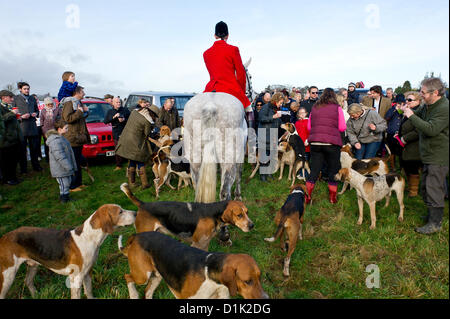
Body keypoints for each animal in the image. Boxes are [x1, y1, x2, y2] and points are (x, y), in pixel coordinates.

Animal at [182, 59, 253, 202]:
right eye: (249, 76)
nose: (251, 92)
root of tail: (210, 105)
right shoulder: (241, 151)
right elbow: (239, 173)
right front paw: (238, 195)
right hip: (229, 154)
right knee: (225, 191)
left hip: (195, 156)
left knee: (197, 185)